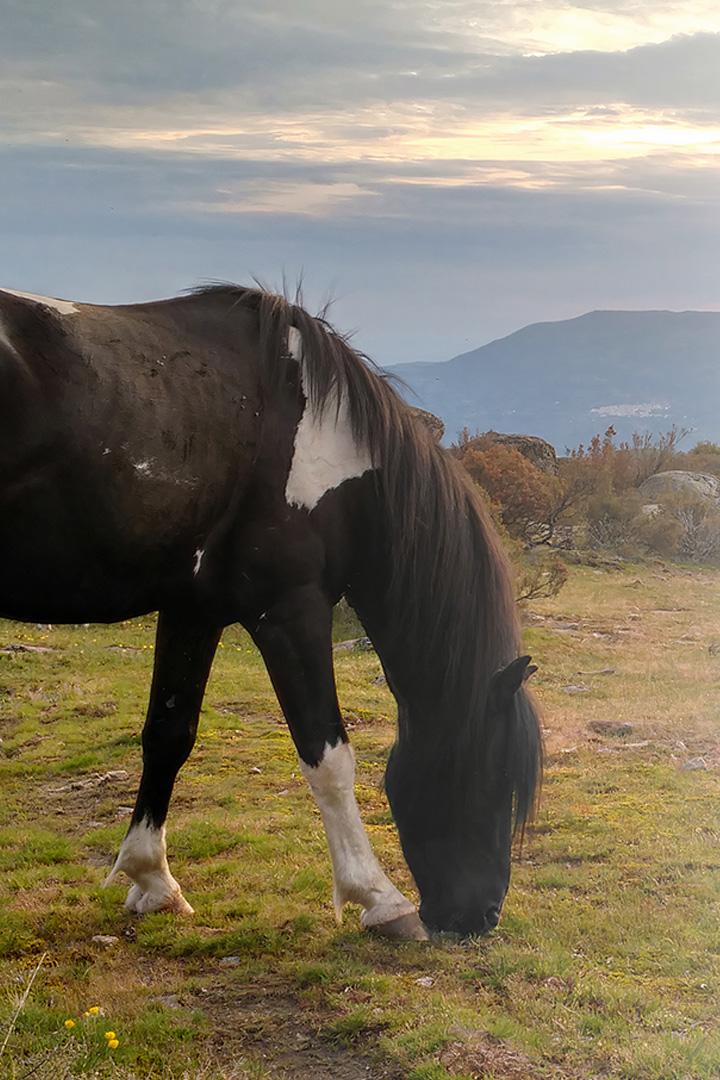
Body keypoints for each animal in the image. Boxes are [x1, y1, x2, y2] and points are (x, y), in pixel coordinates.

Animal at [0, 285, 539, 937]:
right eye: (494, 774)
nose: (481, 915)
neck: (322, 446)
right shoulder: (289, 613)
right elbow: (328, 758)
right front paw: (379, 898)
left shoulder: (194, 610)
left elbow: (168, 735)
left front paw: (153, 880)